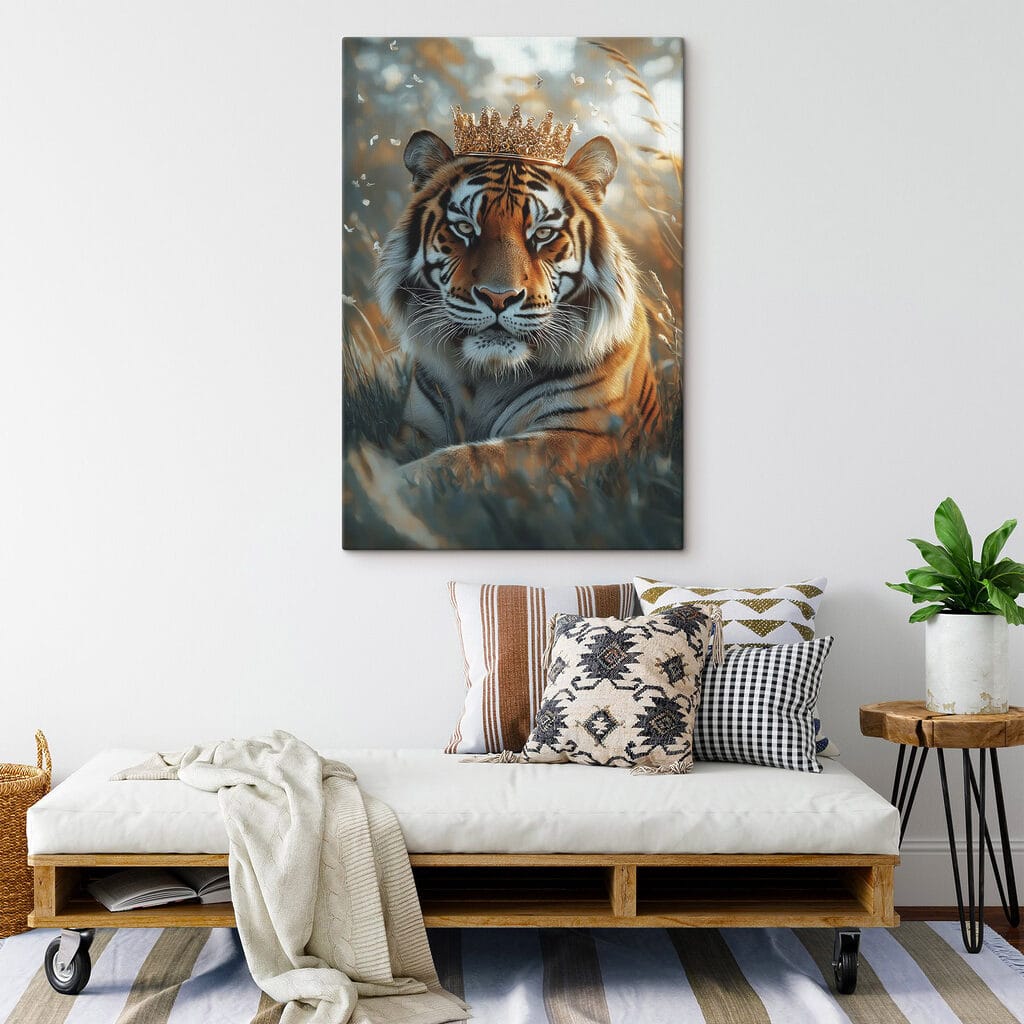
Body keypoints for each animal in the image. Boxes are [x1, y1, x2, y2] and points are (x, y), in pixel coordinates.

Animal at [375, 126, 662, 484]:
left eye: (542, 233)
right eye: (465, 227)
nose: (498, 297)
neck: (486, 377)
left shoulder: (579, 436)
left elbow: (470, 459)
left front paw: (386, 484)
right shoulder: (416, 427)